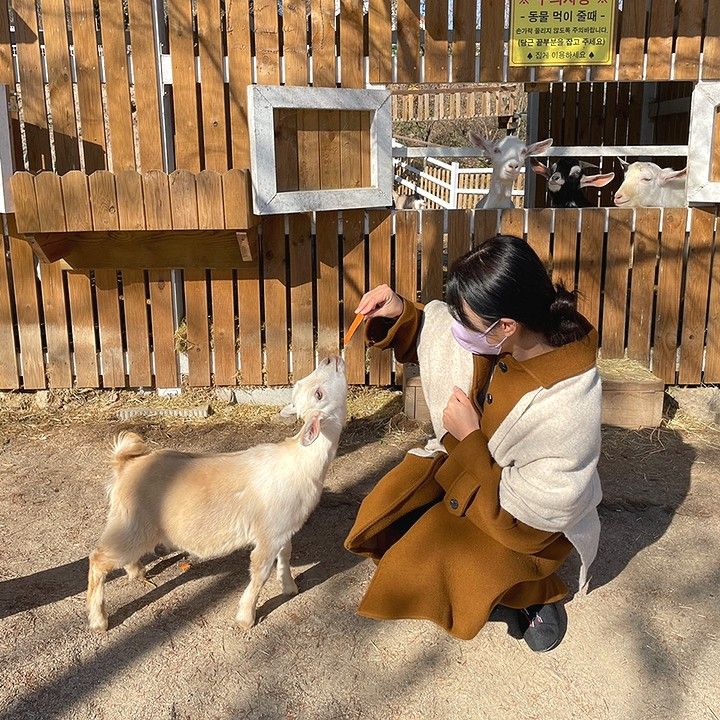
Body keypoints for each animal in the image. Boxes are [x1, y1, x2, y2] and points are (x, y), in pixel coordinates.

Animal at [86, 358, 350, 632]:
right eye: (318, 393)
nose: (330, 359)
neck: (300, 461)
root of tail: (125, 466)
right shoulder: (268, 535)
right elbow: (260, 572)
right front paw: (246, 617)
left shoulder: (282, 530)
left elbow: (285, 555)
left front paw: (289, 587)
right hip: (133, 524)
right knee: (97, 559)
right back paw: (99, 619)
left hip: (132, 527)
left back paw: (136, 572)